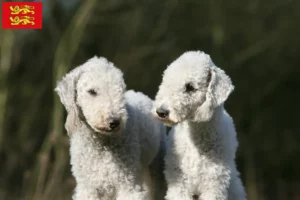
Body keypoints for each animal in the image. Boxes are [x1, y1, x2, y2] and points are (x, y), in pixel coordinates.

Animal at [55, 56, 165, 200]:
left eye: (120, 90)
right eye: (92, 91)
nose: (114, 122)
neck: (102, 143)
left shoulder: (127, 184)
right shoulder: (88, 187)